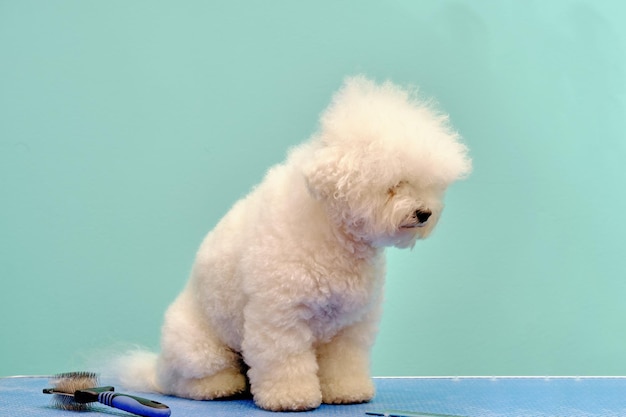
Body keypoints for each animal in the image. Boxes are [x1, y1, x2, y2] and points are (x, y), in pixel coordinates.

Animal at [114, 75, 470, 410]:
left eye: (429, 185)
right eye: (394, 185)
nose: (425, 213)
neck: (334, 234)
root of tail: (156, 369)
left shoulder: (349, 324)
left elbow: (344, 364)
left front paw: (347, 392)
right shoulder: (281, 317)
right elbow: (285, 362)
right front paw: (290, 398)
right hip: (199, 350)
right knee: (188, 382)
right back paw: (221, 386)